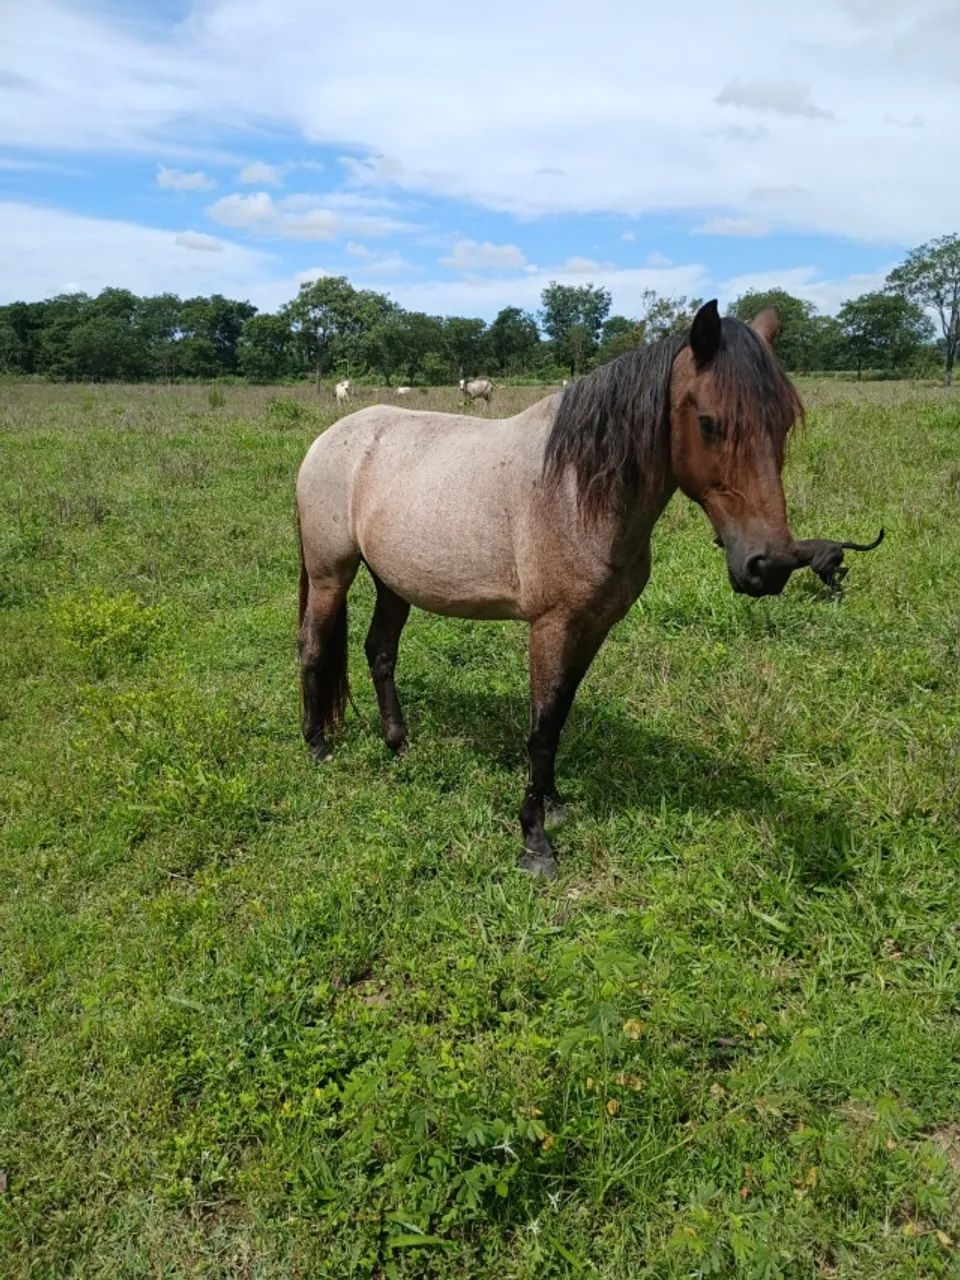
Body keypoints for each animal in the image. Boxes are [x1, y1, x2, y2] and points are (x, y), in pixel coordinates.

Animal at [296, 301, 823, 878]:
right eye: (709, 423)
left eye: (784, 424)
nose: (768, 565)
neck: (577, 491)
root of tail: (330, 438)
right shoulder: (551, 625)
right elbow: (541, 726)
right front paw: (535, 842)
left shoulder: (593, 626)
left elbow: (560, 714)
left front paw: (553, 802)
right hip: (330, 574)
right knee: (313, 647)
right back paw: (317, 746)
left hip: (392, 581)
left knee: (381, 652)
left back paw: (398, 742)